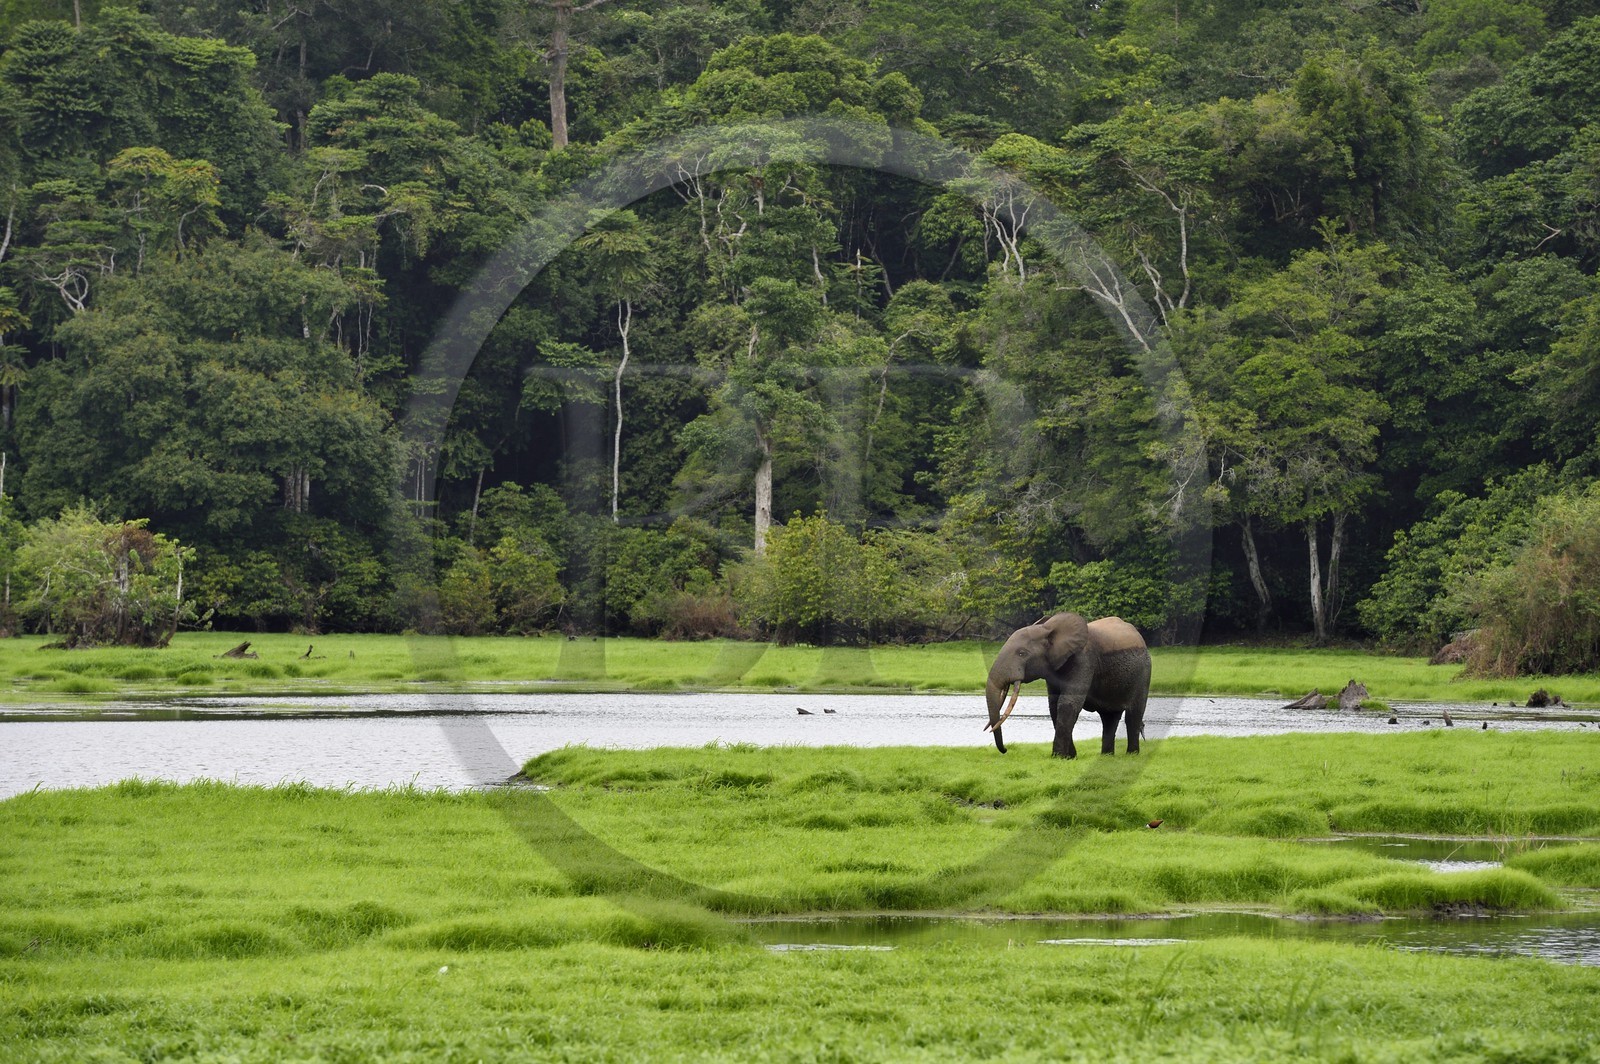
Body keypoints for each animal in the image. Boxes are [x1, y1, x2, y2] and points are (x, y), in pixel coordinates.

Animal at [983, 613, 1151, 759]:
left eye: (1021, 653)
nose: (1005, 750)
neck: (1048, 629)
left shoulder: (1085, 660)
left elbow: (1067, 704)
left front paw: (1059, 756)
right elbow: (1053, 706)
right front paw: (1070, 757)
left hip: (1144, 672)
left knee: (1133, 714)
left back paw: (1131, 755)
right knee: (1109, 718)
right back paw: (1107, 756)